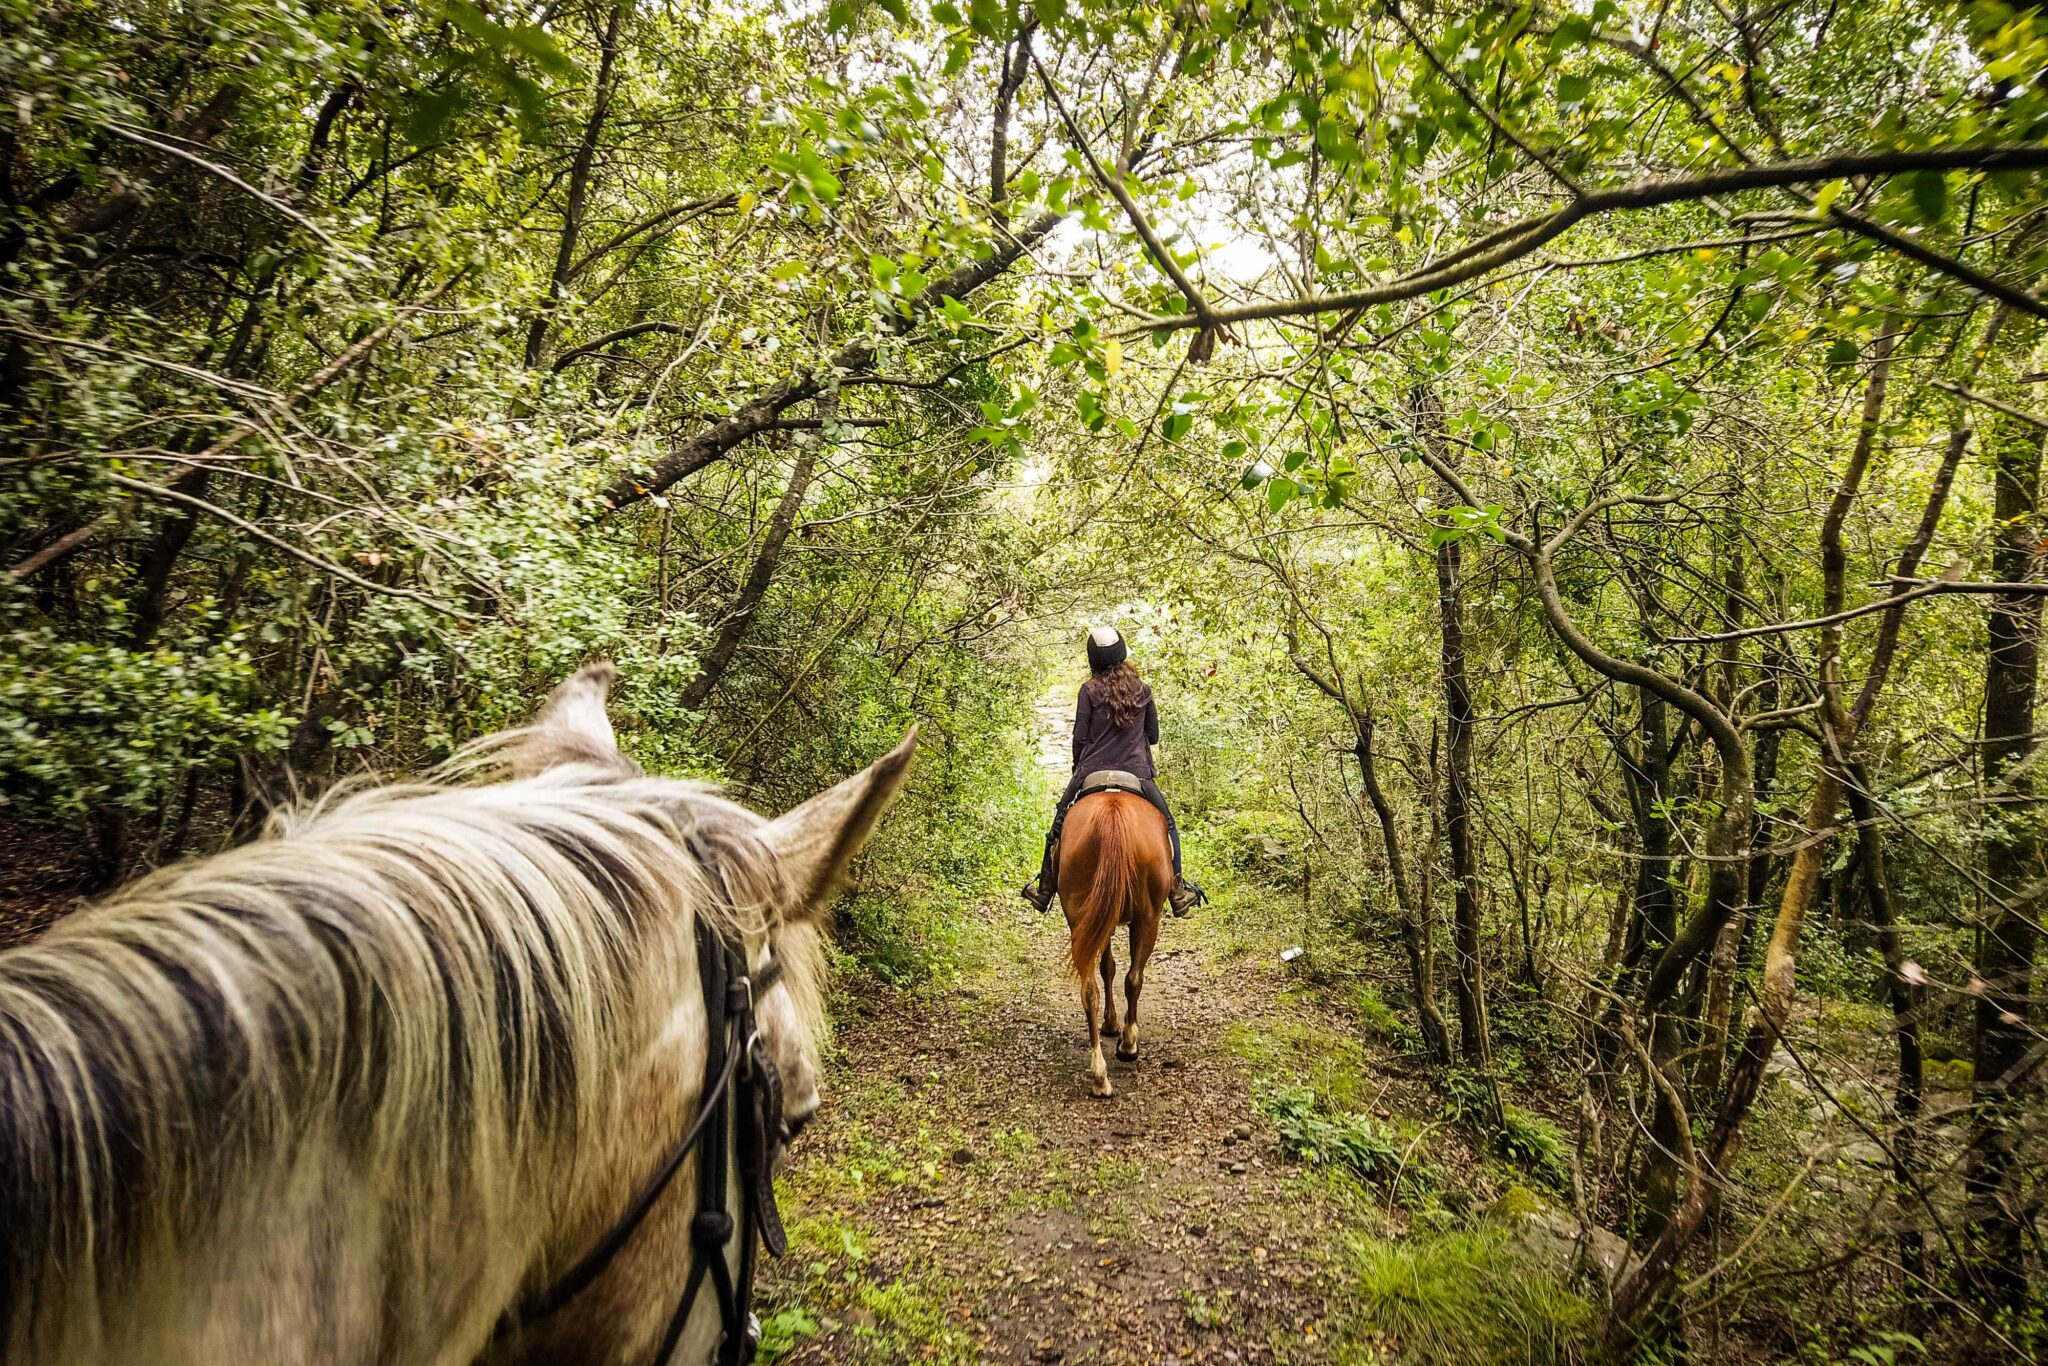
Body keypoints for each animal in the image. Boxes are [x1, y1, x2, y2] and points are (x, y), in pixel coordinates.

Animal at [1058, 789, 1171, 1097]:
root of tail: (1113, 814)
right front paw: (1119, 1032)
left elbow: (1107, 966)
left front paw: (1110, 1023)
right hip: (1148, 919)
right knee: (1134, 978)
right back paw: (1127, 1045)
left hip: (1082, 917)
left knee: (1090, 991)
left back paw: (1099, 1076)